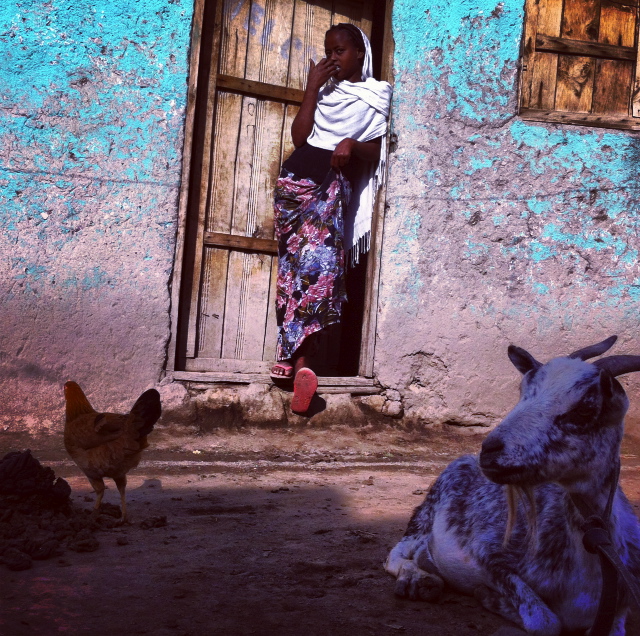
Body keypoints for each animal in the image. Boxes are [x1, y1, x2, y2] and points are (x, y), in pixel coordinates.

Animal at [385, 336, 640, 636]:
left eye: (585, 408)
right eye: (523, 392)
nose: (489, 451)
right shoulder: (488, 553)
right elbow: (546, 622)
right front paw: (490, 597)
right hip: (425, 514)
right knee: (397, 553)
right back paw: (420, 580)